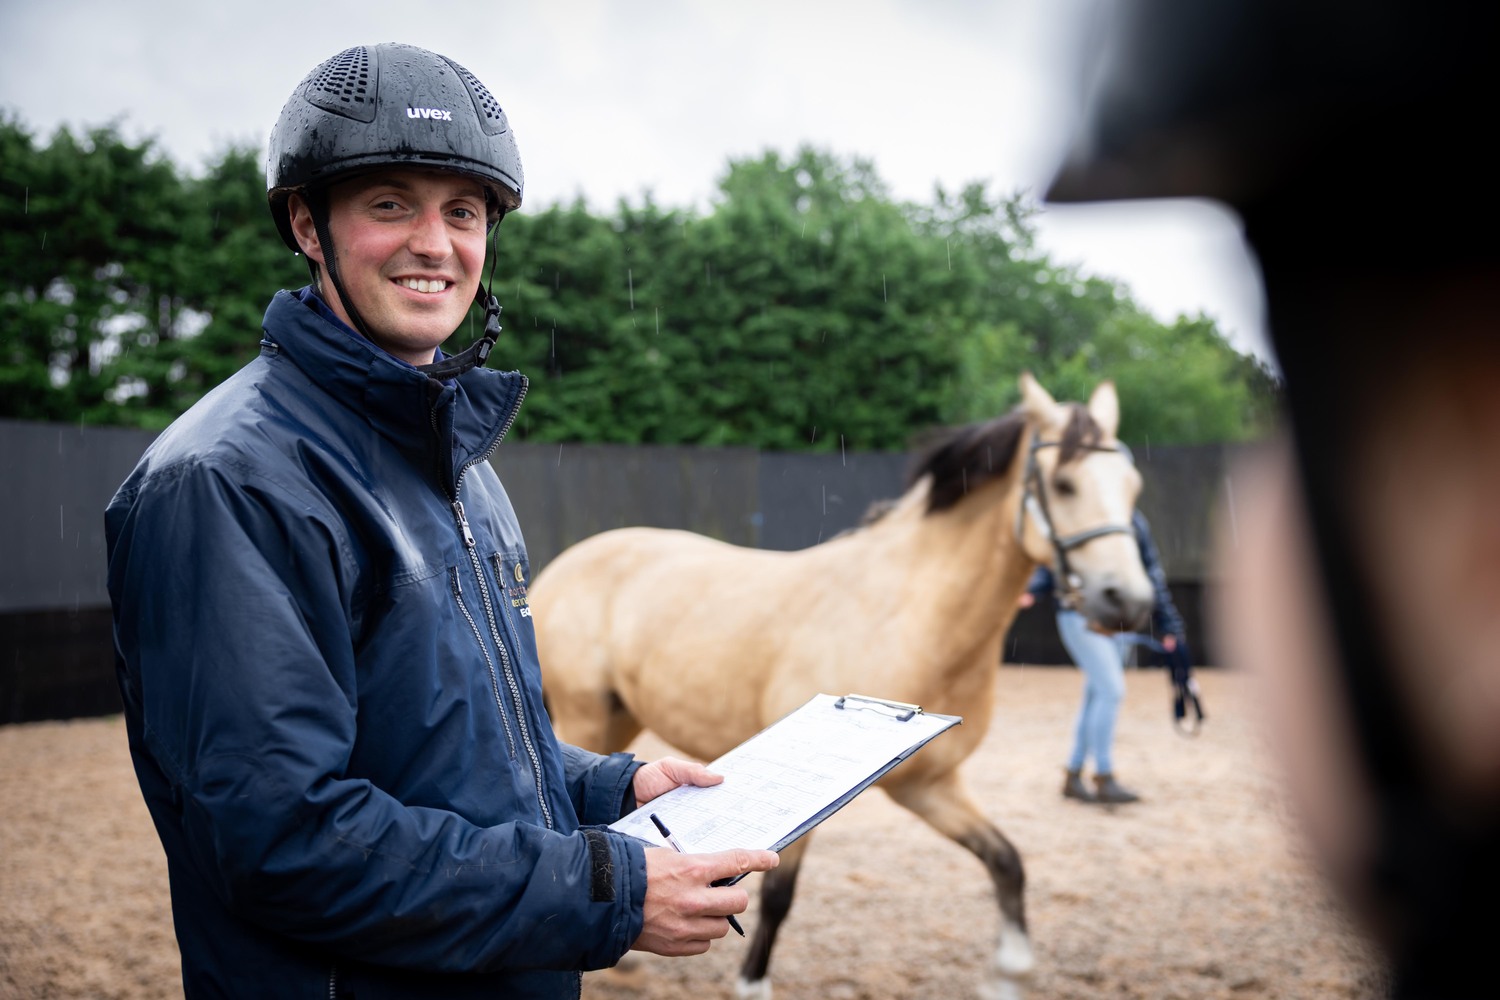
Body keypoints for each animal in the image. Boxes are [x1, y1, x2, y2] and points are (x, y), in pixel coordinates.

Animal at [531, 373, 1154, 1000]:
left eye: (1133, 486)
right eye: (1064, 483)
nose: (1128, 601)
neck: (904, 615)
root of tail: (565, 564)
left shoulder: (929, 786)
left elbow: (1007, 860)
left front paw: (1008, 975)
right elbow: (778, 898)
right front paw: (752, 985)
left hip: (621, 718)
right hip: (585, 714)